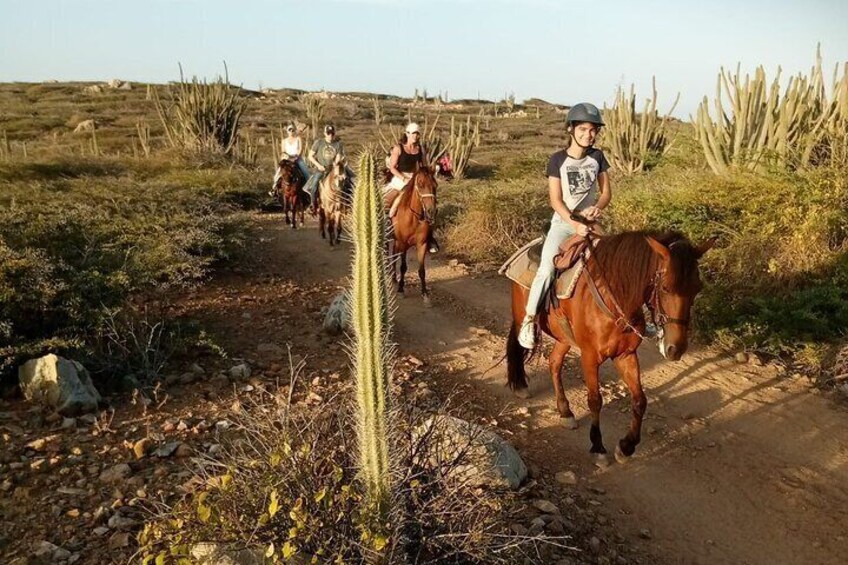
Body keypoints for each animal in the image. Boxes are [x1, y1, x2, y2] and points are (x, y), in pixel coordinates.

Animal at [392, 166, 440, 304]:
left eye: (435, 185)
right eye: (420, 184)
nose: (431, 211)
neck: (414, 217)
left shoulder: (421, 244)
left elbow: (422, 271)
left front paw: (425, 294)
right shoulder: (402, 243)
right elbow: (403, 267)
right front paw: (401, 290)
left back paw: (393, 278)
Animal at [506, 229, 712, 462]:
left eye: (697, 288)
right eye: (666, 287)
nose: (675, 349)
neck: (615, 300)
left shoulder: (626, 355)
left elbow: (640, 400)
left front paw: (626, 446)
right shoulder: (589, 357)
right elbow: (595, 400)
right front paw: (598, 447)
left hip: (564, 337)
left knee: (554, 362)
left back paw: (565, 412)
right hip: (521, 316)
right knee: (518, 345)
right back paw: (521, 386)